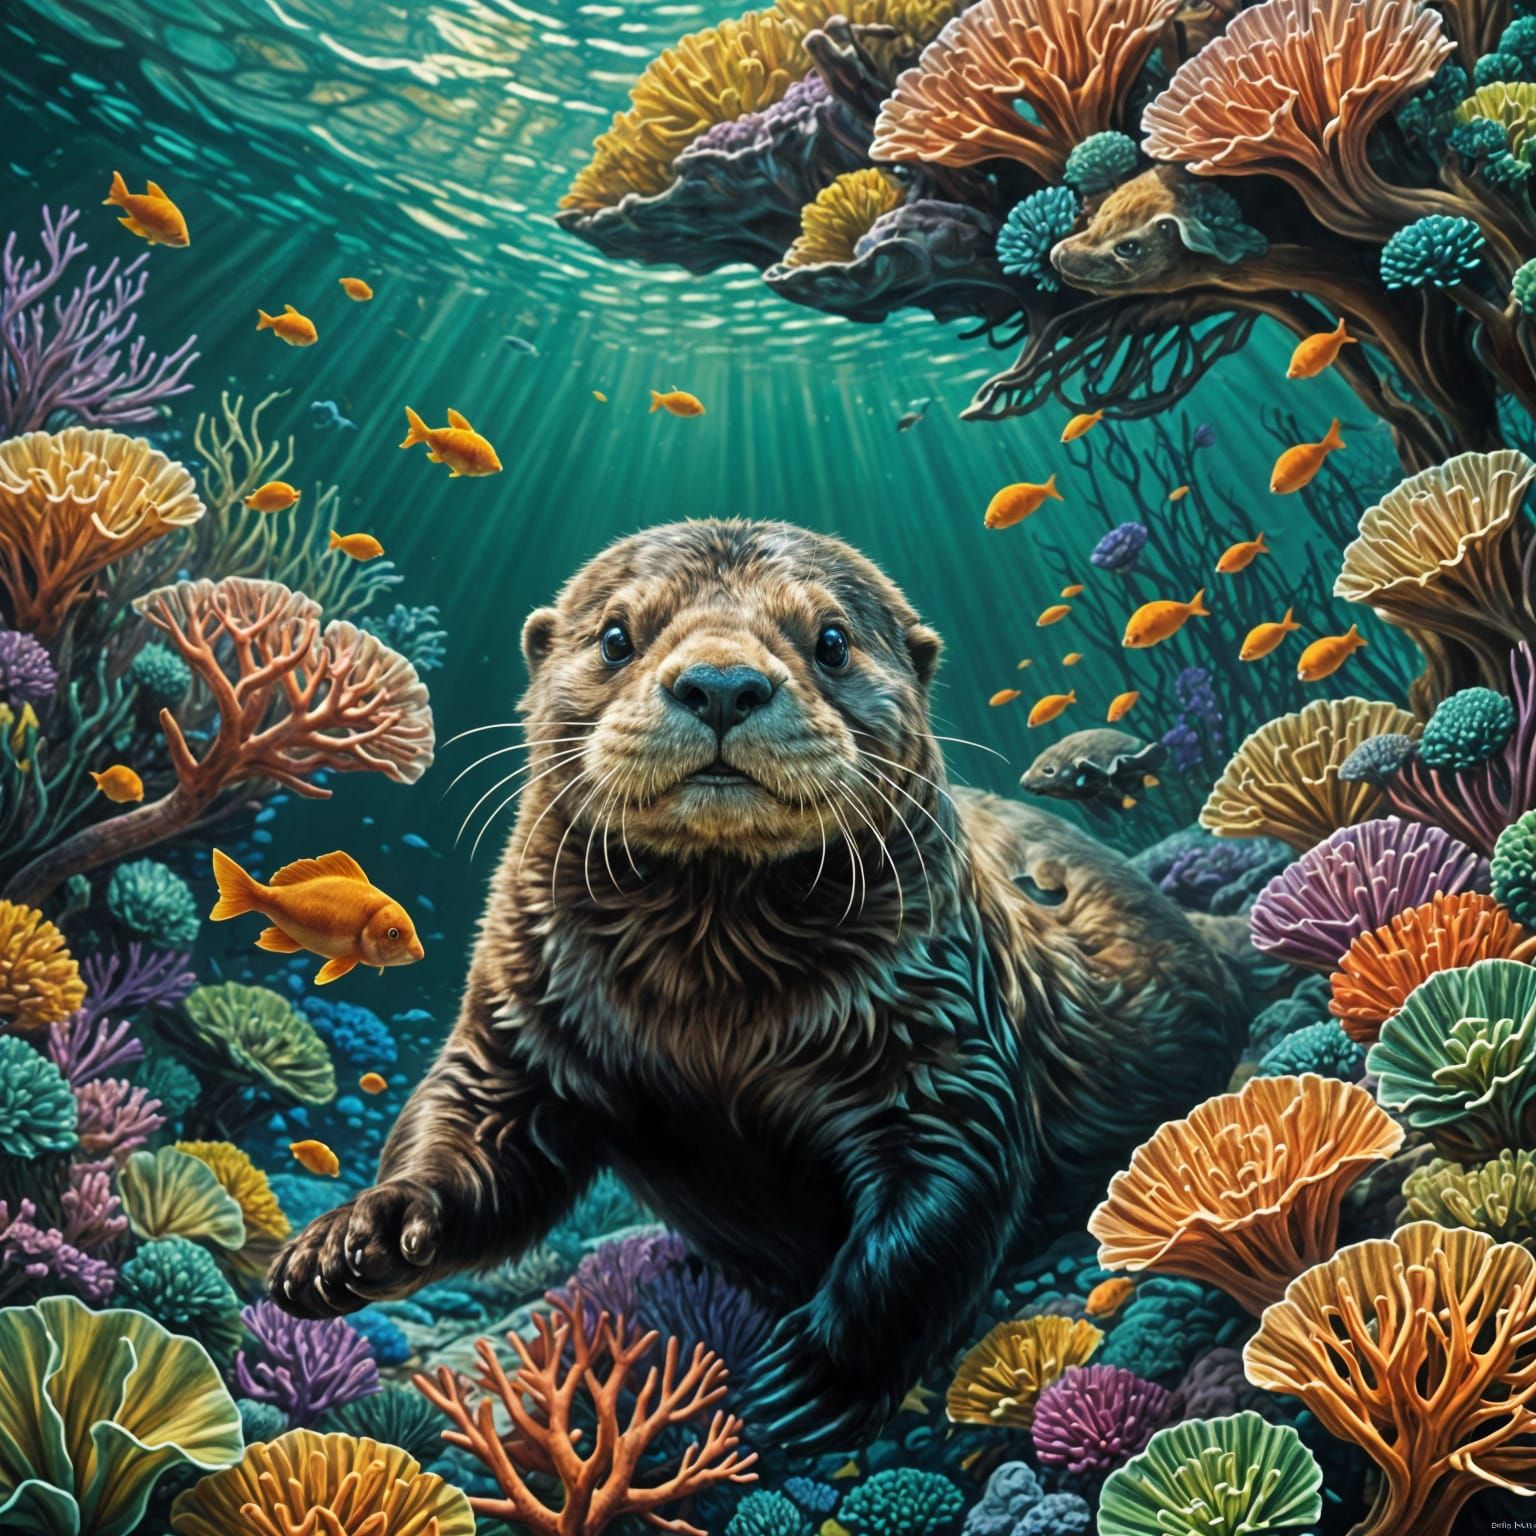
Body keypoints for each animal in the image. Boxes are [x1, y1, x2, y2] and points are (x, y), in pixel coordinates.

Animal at [269, 520, 1243, 1450]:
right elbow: (467, 1130)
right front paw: (357, 1238)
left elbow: (945, 1195)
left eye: (833, 641)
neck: (710, 1013)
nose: (721, 684)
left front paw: (813, 1377)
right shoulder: (519, 1017)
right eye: (616, 636)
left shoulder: (945, 1034)